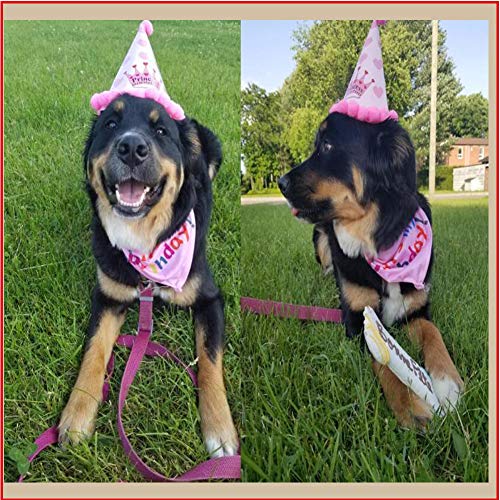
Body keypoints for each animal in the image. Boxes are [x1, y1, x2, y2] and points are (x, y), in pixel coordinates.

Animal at [58, 94, 238, 458]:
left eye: (160, 130)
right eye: (111, 124)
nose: (131, 148)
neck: (145, 238)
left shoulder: (210, 299)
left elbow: (210, 361)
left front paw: (220, 429)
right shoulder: (108, 296)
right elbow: (93, 351)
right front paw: (76, 415)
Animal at [280, 112, 462, 426]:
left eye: (327, 146)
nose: (279, 183)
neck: (377, 239)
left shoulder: (416, 310)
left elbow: (433, 333)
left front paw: (447, 381)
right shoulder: (356, 318)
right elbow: (383, 360)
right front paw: (410, 402)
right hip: (319, 235)